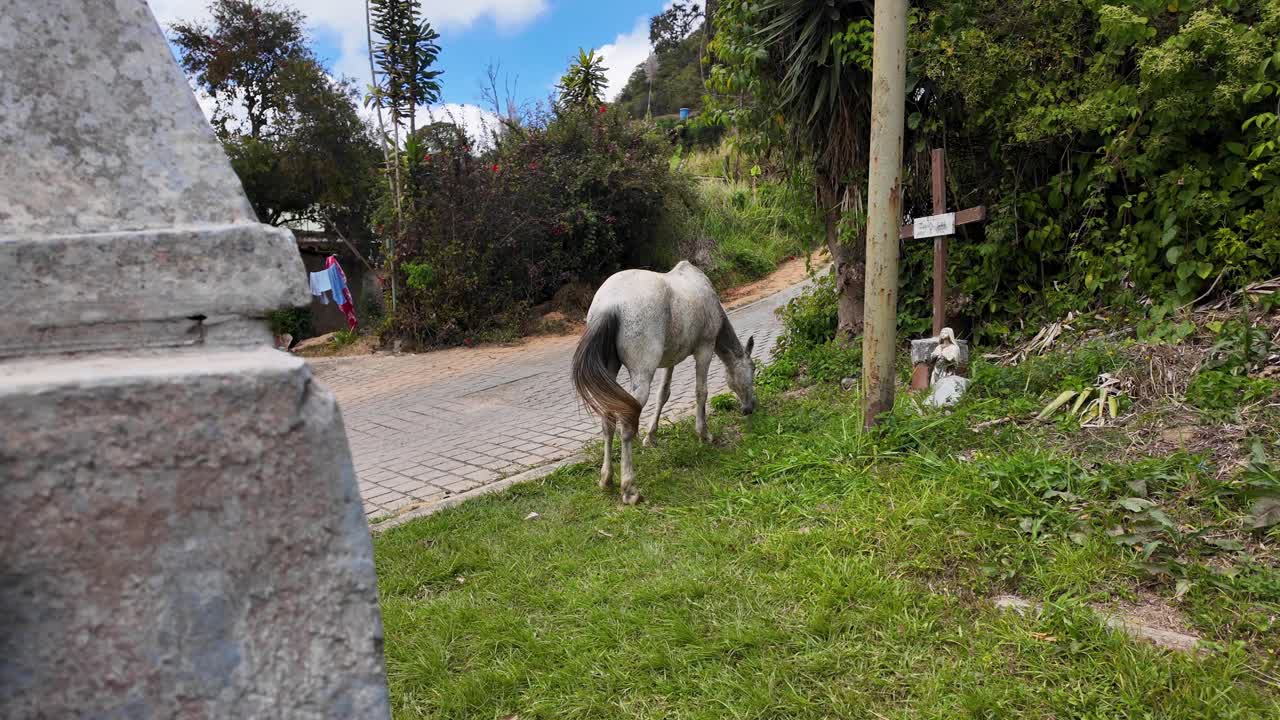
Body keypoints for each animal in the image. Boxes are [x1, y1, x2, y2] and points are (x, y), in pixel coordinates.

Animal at [571, 260, 757, 504]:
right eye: (753, 369)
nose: (749, 408)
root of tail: (609, 306)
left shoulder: (671, 360)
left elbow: (663, 394)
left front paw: (651, 436)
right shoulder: (705, 350)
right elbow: (701, 392)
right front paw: (704, 434)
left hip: (610, 374)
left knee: (608, 421)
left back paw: (606, 478)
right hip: (642, 375)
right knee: (626, 424)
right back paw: (630, 489)